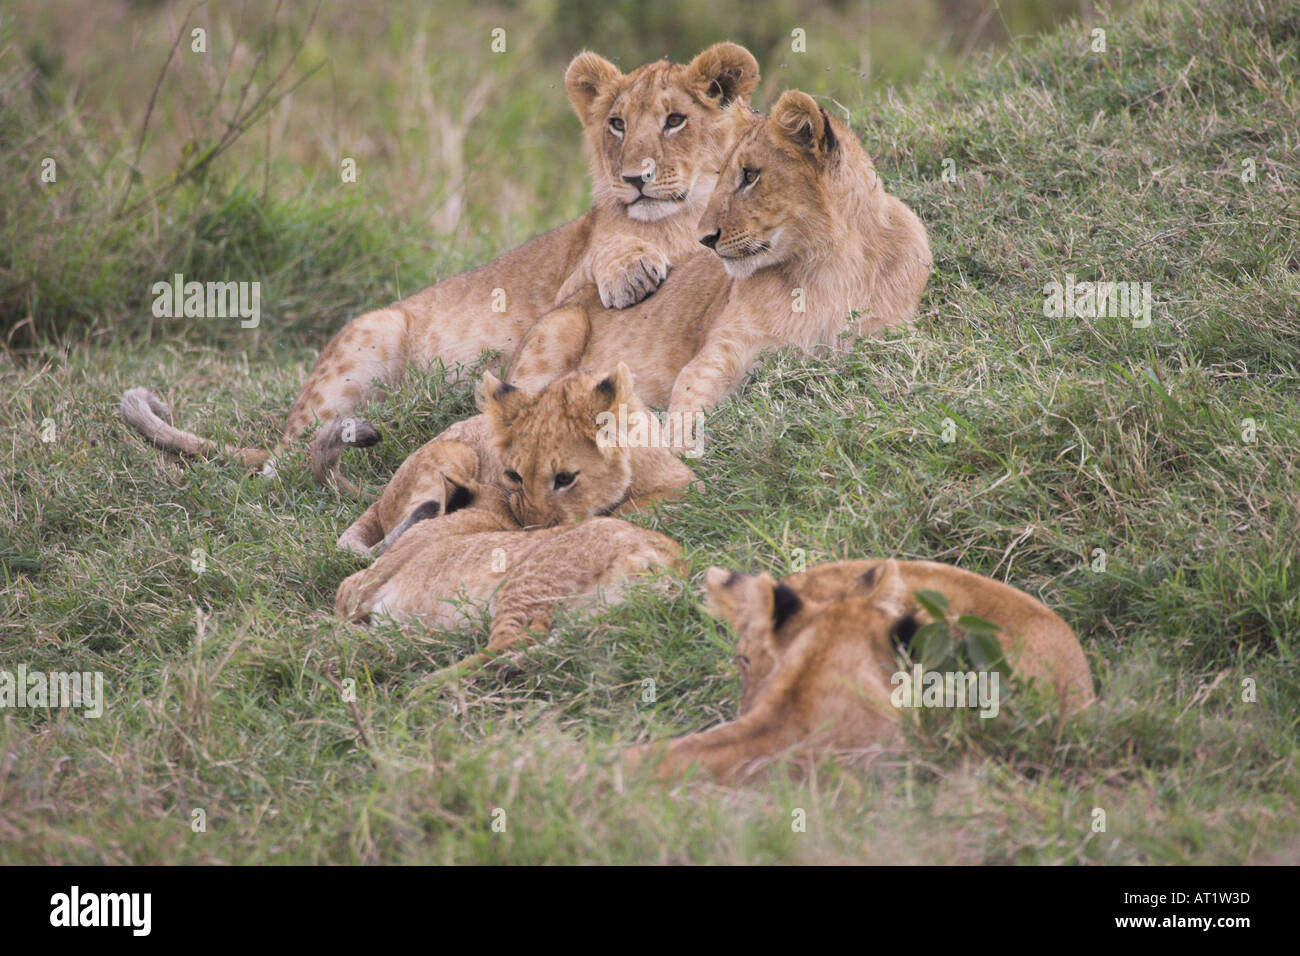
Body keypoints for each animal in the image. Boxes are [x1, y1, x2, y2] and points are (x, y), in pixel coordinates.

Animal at [121, 43, 761, 494]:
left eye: (675, 120)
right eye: (618, 124)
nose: (634, 178)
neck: (683, 217)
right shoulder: (570, 287)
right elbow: (609, 253)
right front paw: (633, 267)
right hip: (372, 334)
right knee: (285, 460)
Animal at [335, 363, 696, 554]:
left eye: (564, 479)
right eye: (514, 476)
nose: (533, 530)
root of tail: (380, 498)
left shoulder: (686, 484)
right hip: (455, 451)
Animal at [506, 89, 932, 448]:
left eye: (751, 175)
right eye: (723, 175)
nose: (705, 238)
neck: (826, 267)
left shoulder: (885, 334)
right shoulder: (725, 352)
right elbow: (688, 406)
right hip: (561, 327)